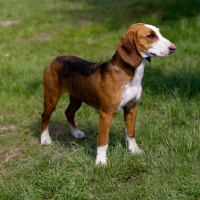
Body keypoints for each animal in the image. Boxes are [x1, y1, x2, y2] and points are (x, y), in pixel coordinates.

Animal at [40, 23, 175, 164]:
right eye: (150, 36)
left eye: (159, 33)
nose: (173, 48)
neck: (129, 74)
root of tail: (56, 59)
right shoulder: (106, 114)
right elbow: (103, 141)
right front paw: (100, 162)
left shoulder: (131, 108)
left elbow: (131, 133)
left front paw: (134, 150)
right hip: (51, 98)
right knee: (45, 116)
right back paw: (45, 139)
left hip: (77, 99)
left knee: (68, 113)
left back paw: (76, 133)